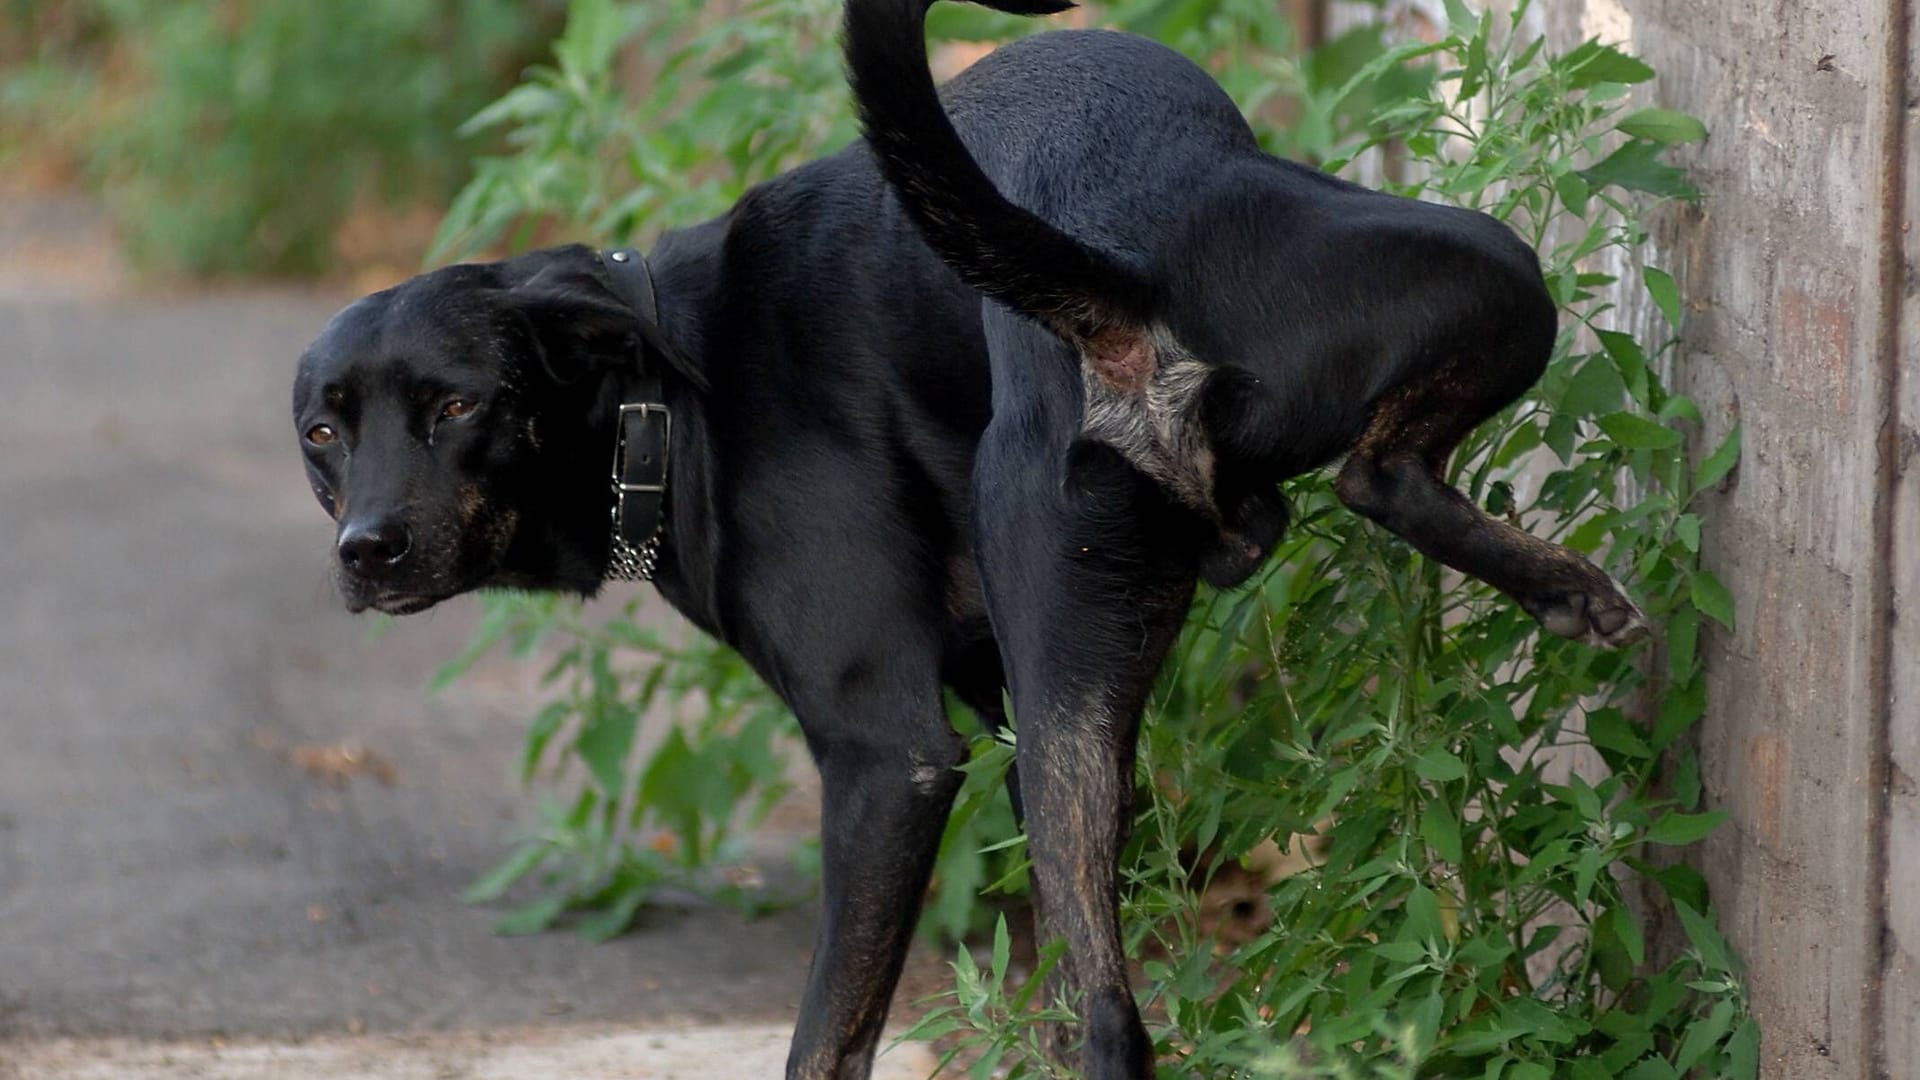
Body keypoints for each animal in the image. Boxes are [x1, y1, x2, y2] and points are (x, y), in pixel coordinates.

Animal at [291, 4, 1643, 1068]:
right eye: (321, 432)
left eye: (457, 407)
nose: (365, 551)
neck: (662, 393)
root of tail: (1114, 283)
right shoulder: (995, 704)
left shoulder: (887, 764)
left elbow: (827, 1039)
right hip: (1478, 282)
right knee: (1375, 476)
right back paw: (1563, 590)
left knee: (1109, 1018)